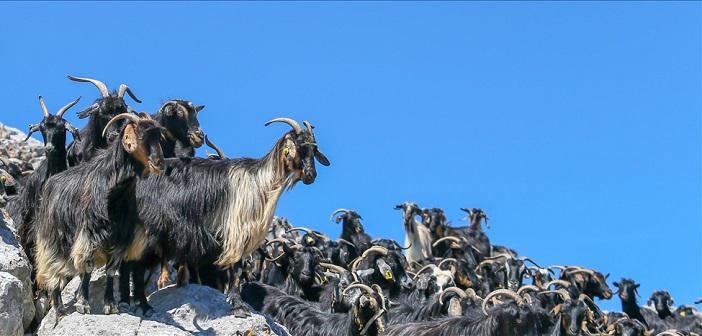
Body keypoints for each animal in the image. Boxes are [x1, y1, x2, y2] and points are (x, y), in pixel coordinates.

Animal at [33, 113, 166, 320]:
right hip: (52, 239)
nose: (159, 163)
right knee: (54, 270)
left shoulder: (119, 238)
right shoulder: (89, 234)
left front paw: (110, 305)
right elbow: (87, 268)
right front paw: (83, 304)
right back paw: (60, 309)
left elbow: (111, 270)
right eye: (142, 136)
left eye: (159, 137)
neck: (115, 192)